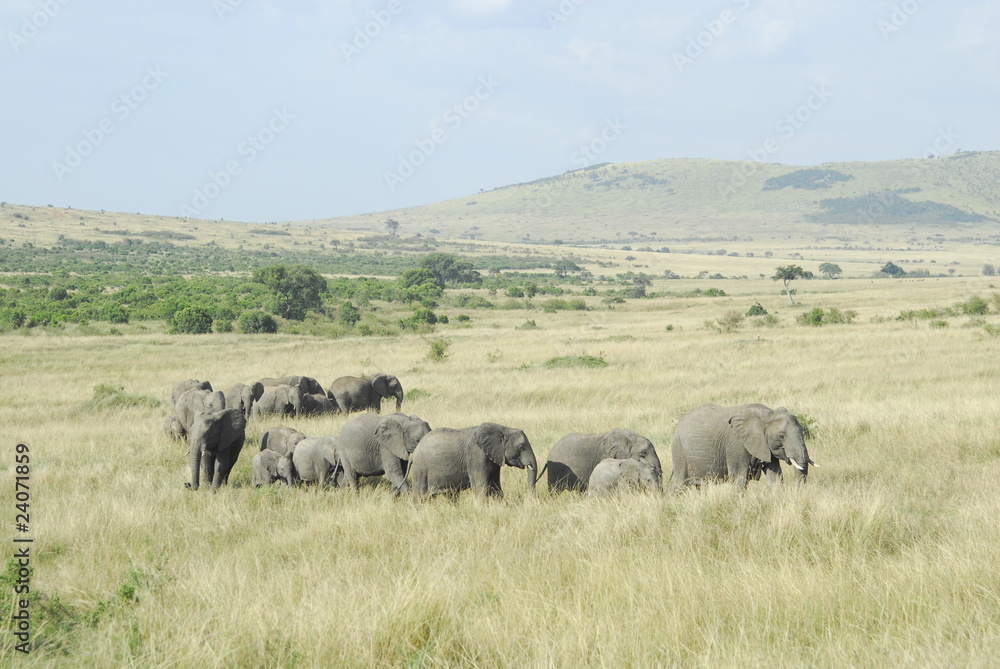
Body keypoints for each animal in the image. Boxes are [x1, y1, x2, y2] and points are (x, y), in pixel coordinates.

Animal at [408, 420, 540, 498]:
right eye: (521, 446)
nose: (529, 498)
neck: (503, 428)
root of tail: (413, 454)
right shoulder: (477, 455)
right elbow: (480, 486)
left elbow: (495, 486)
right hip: (420, 468)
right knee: (419, 496)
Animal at [668, 402, 816, 490]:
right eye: (781, 436)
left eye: (803, 430)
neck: (767, 415)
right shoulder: (736, 444)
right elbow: (739, 478)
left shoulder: (765, 446)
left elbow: (775, 477)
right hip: (679, 451)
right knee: (679, 485)